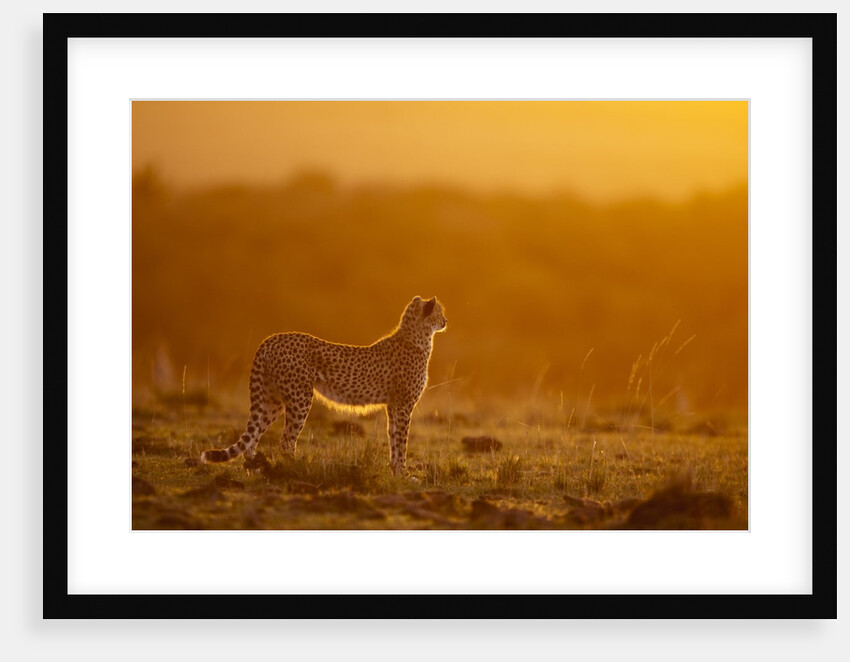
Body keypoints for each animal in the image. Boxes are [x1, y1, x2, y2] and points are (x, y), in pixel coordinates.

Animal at [201, 296, 447, 475]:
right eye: (440, 312)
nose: (446, 321)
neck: (417, 337)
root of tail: (271, 339)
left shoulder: (394, 405)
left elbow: (394, 439)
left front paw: (397, 473)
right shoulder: (404, 405)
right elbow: (402, 441)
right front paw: (404, 474)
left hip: (272, 400)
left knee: (253, 438)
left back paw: (257, 467)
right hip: (300, 398)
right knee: (286, 440)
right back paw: (297, 467)